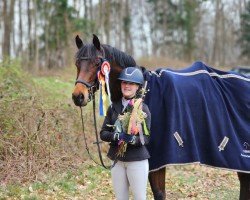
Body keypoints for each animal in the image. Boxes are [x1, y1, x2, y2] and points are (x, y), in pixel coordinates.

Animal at [72, 34, 250, 200]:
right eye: (77, 63)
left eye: (97, 63)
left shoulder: (157, 161)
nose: (78, 96)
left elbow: (159, 193)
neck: (142, 91)